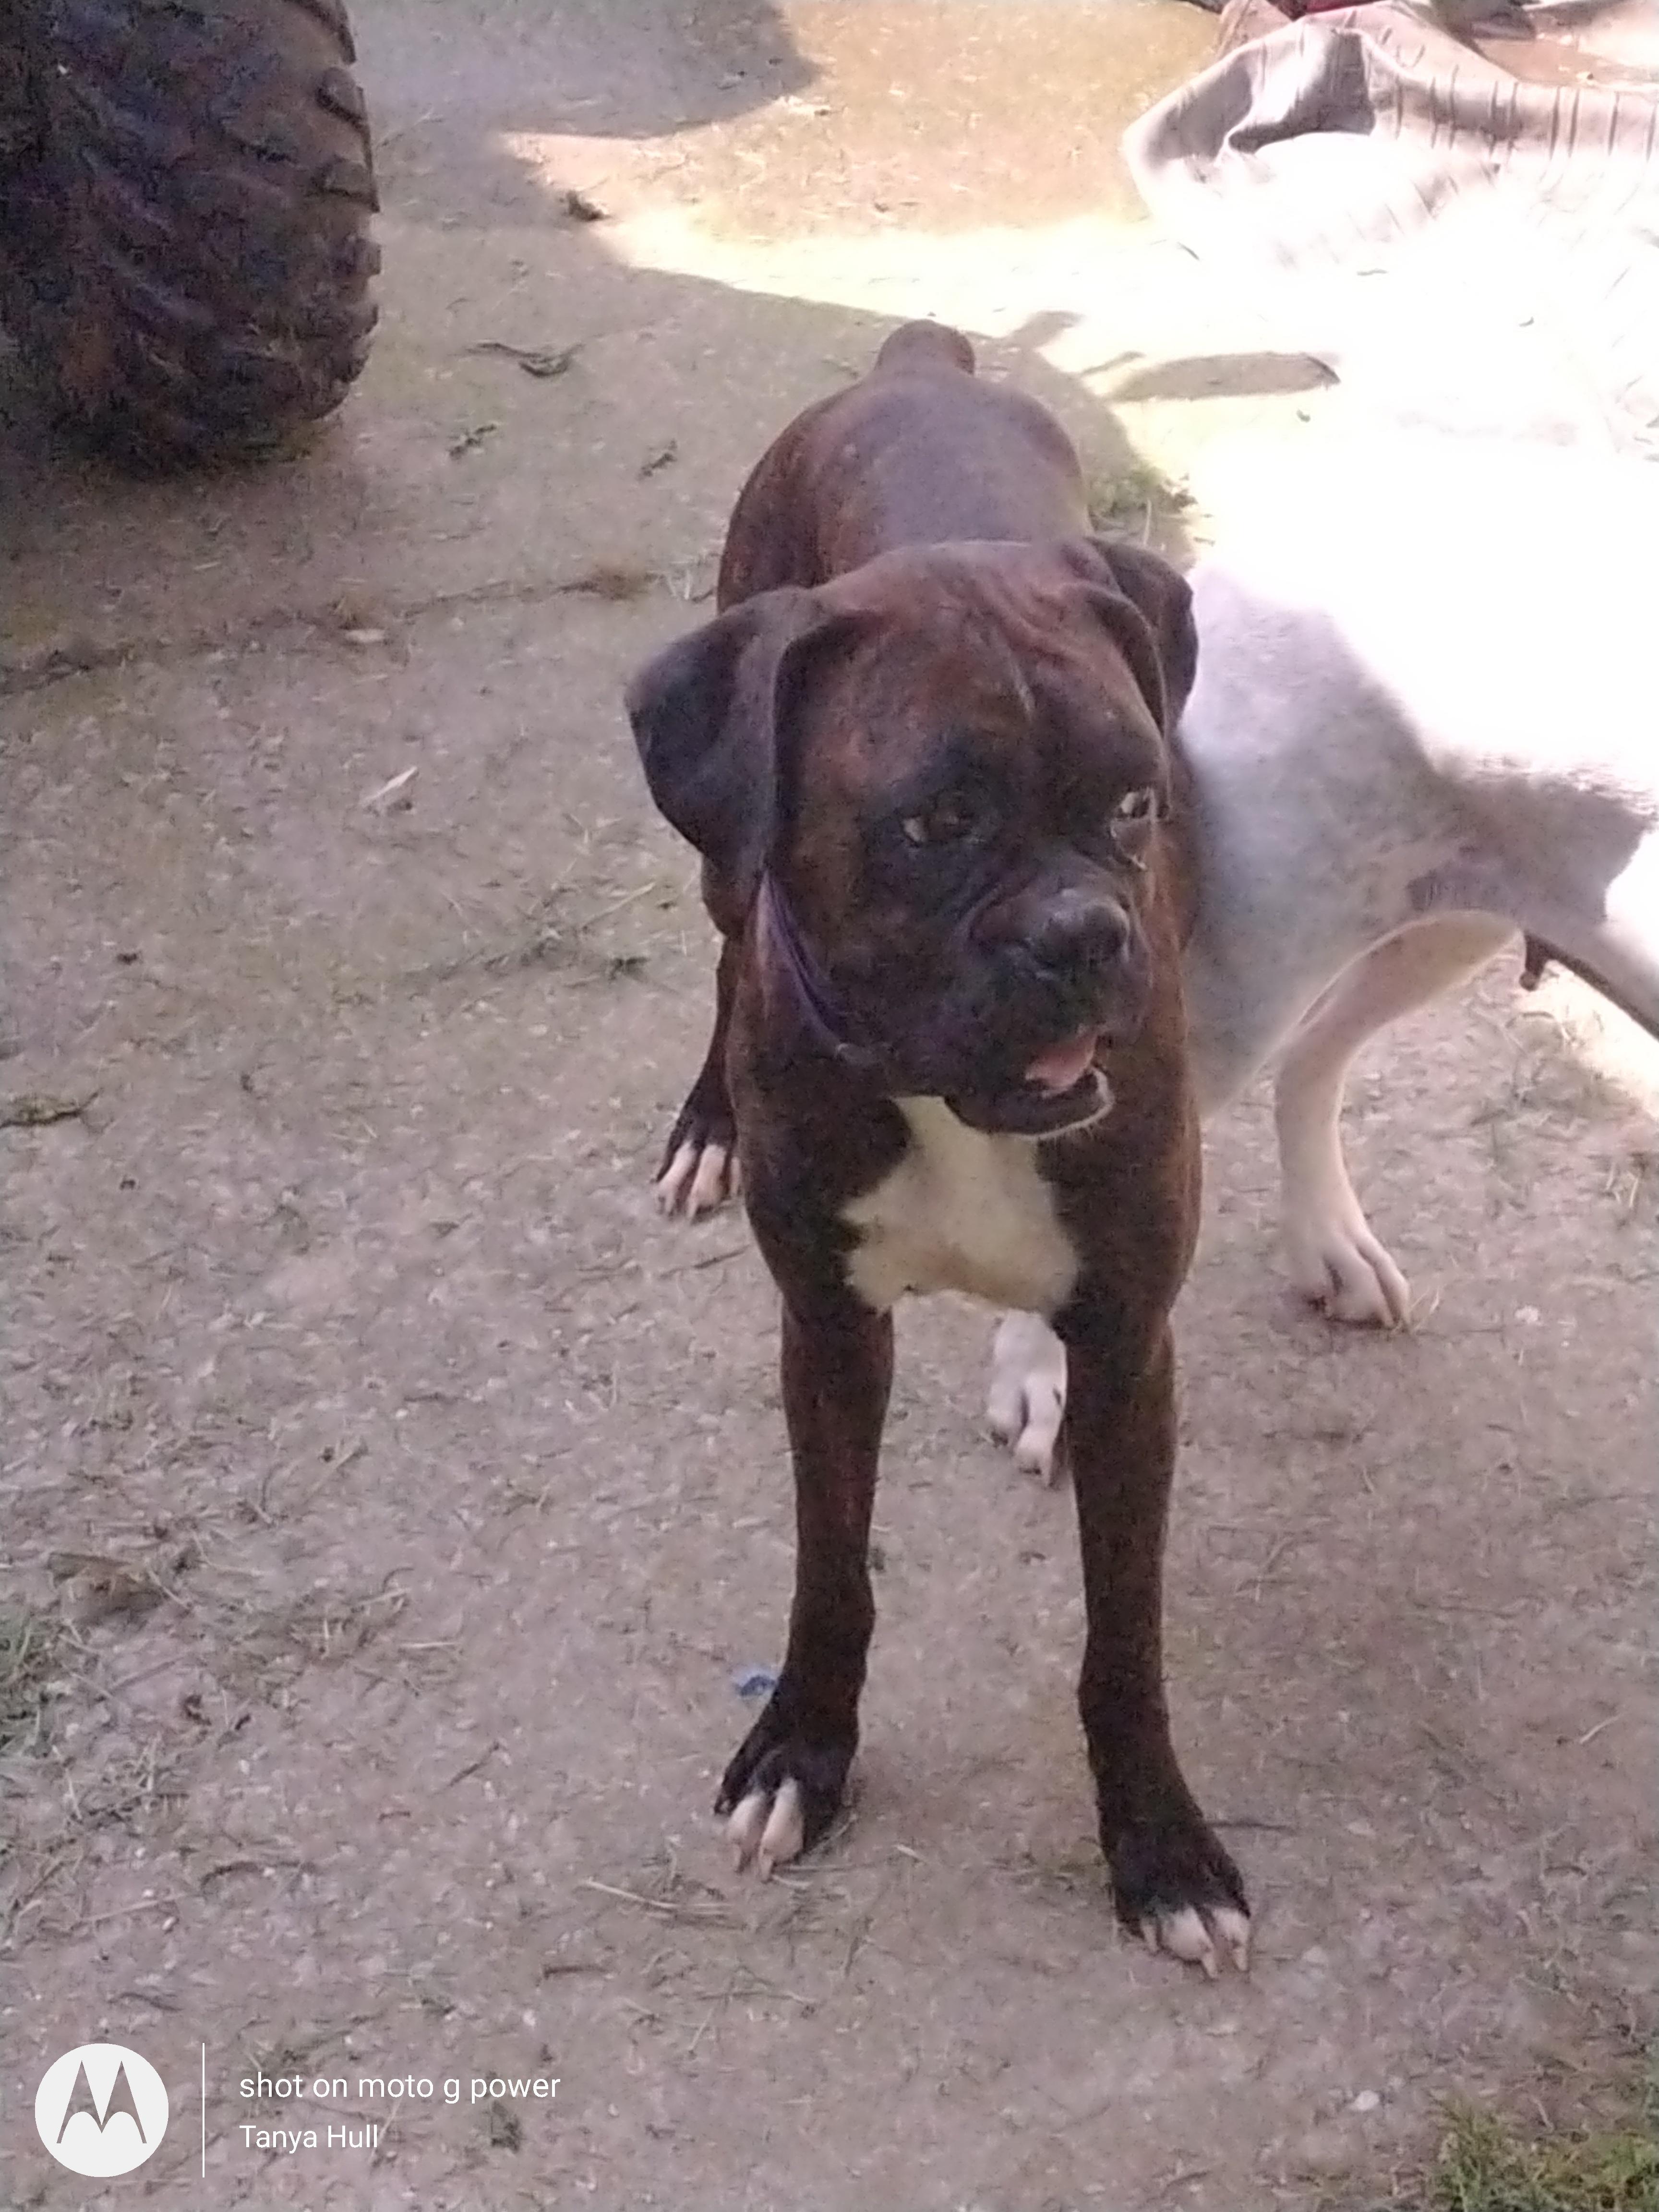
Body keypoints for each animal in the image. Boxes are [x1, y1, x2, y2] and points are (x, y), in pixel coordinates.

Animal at [627, 320, 1252, 1977]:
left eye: (1134, 803)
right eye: (934, 824)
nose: (1084, 936)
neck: (952, 1105)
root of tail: (918, 360)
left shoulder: (1130, 1348)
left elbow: (1124, 1638)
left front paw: (1159, 1845)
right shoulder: (830, 1334)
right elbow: (831, 1573)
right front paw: (802, 1752)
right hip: (721, 866)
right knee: (727, 936)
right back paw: (706, 1123)